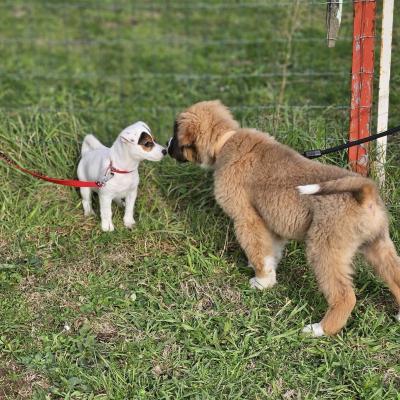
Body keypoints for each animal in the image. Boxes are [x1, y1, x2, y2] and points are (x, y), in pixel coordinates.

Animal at [167, 98, 400, 336]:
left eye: (175, 132)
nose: (166, 146)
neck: (225, 140)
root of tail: (364, 192)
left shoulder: (246, 219)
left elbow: (257, 249)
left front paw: (262, 281)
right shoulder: (271, 221)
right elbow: (269, 251)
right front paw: (268, 273)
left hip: (324, 251)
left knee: (344, 296)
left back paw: (320, 329)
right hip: (378, 245)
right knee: (395, 276)